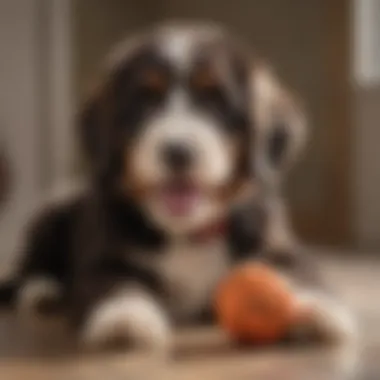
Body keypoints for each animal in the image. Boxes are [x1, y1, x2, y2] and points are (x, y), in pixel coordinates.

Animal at [1, 23, 354, 350]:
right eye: (145, 101)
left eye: (215, 100)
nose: (178, 151)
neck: (188, 233)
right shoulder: (104, 257)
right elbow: (115, 282)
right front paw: (125, 317)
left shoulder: (275, 244)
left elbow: (301, 273)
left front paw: (318, 310)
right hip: (51, 216)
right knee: (29, 267)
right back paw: (43, 291)